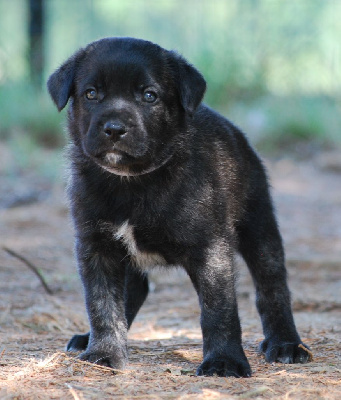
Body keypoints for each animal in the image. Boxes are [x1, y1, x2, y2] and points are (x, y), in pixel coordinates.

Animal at [47, 36, 310, 376]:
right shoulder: (97, 246)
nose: (114, 128)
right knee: (135, 290)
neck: (133, 182)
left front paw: (224, 361)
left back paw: (286, 344)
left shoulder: (211, 251)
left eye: (149, 96)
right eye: (91, 94)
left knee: (273, 286)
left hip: (259, 227)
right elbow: (102, 303)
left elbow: (219, 310)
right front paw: (104, 353)